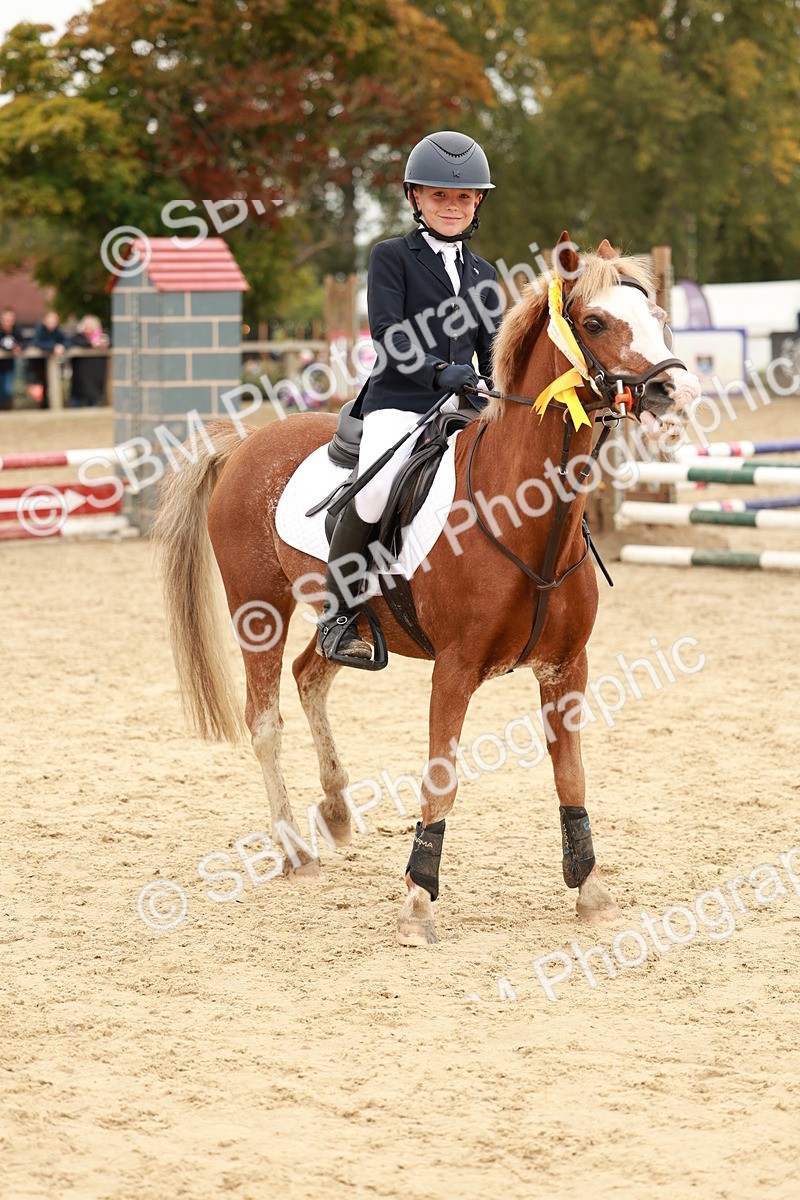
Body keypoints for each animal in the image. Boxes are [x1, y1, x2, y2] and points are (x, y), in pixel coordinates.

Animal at [153, 234, 700, 947]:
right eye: (596, 322)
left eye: (658, 317)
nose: (675, 388)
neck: (525, 514)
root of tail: (245, 444)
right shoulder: (456, 669)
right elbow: (441, 779)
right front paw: (418, 901)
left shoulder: (566, 668)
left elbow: (571, 777)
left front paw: (591, 890)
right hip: (259, 610)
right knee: (265, 720)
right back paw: (294, 848)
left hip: (343, 621)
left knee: (310, 675)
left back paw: (335, 808)